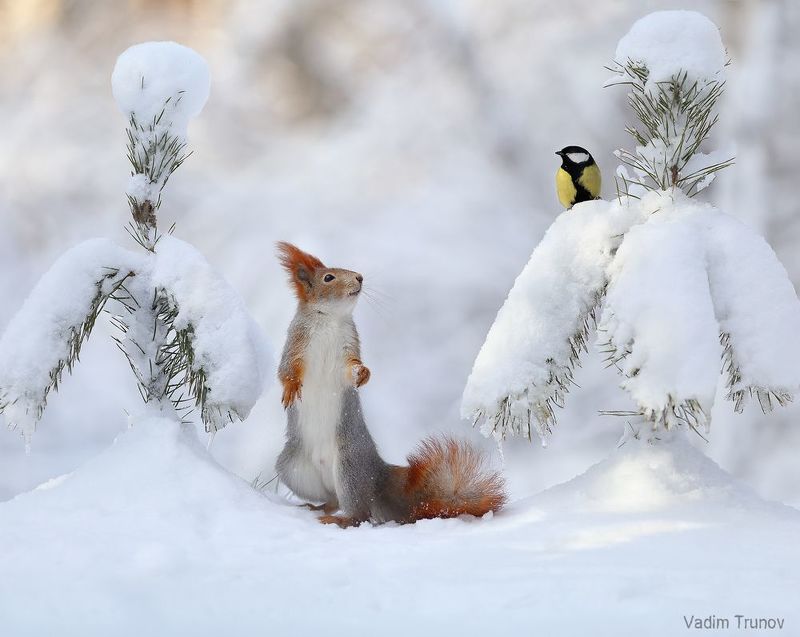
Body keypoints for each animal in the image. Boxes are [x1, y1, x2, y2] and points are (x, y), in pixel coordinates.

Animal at [274, 242, 506, 527]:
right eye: (328, 278)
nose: (359, 277)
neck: (330, 319)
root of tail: (377, 476)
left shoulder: (349, 344)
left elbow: (350, 367)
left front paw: (363, 373)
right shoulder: (296, 342)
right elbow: (286, 370)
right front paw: (290, 388)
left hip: (349, 466)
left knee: (358, 512)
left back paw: (338, 519)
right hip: (294, 468)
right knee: (333, 499)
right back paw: (317, 507)